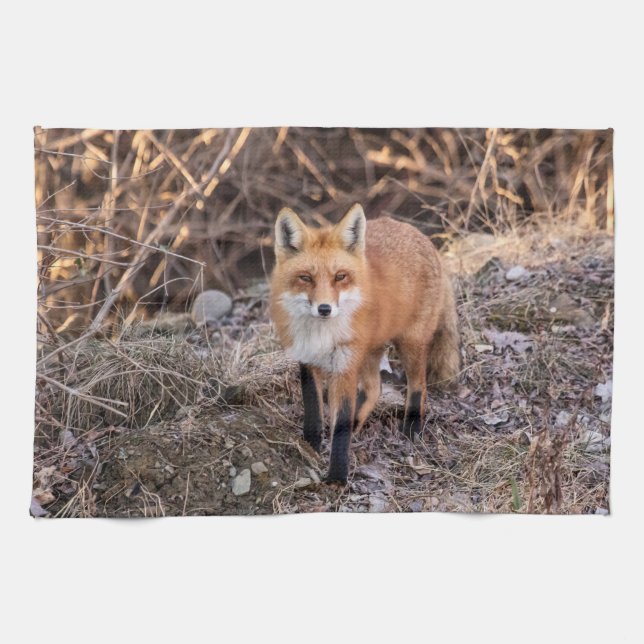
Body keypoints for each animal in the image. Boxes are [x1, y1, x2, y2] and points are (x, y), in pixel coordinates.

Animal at [270, 203, 460, 483]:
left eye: (340, 277)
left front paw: (337, 478)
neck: (322, 334)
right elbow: (314, 410)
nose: (324, 309)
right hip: (370, 351)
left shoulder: (345, 367)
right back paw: (359, 423)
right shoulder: (306, 359)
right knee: (374, 389)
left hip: (409, 344)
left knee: (419, 385)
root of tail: (423, 237)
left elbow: (341, 425)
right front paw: (311, 446)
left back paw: (412, 428)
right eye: (306, 278)